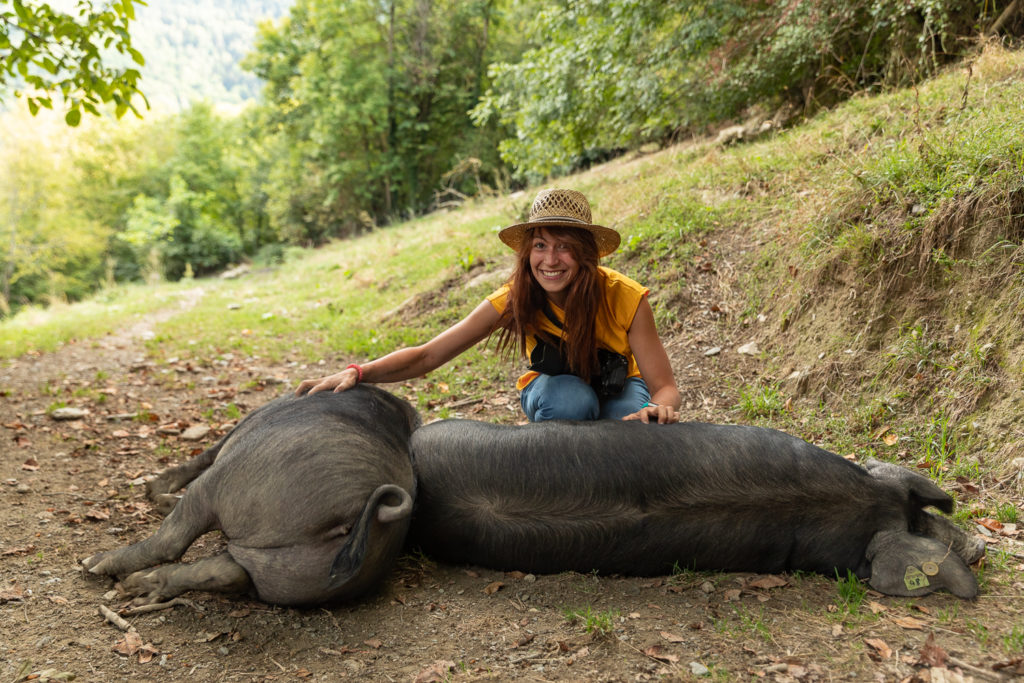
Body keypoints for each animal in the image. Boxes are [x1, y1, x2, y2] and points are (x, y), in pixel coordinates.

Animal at [79, 387, 415, 606]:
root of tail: (365, 507)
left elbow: (206, 452)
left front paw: (153, 489)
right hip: (293, 573)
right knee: (229, 572)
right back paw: (138, 587)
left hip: (226, 482)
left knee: (172, 538)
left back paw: (95, 563)